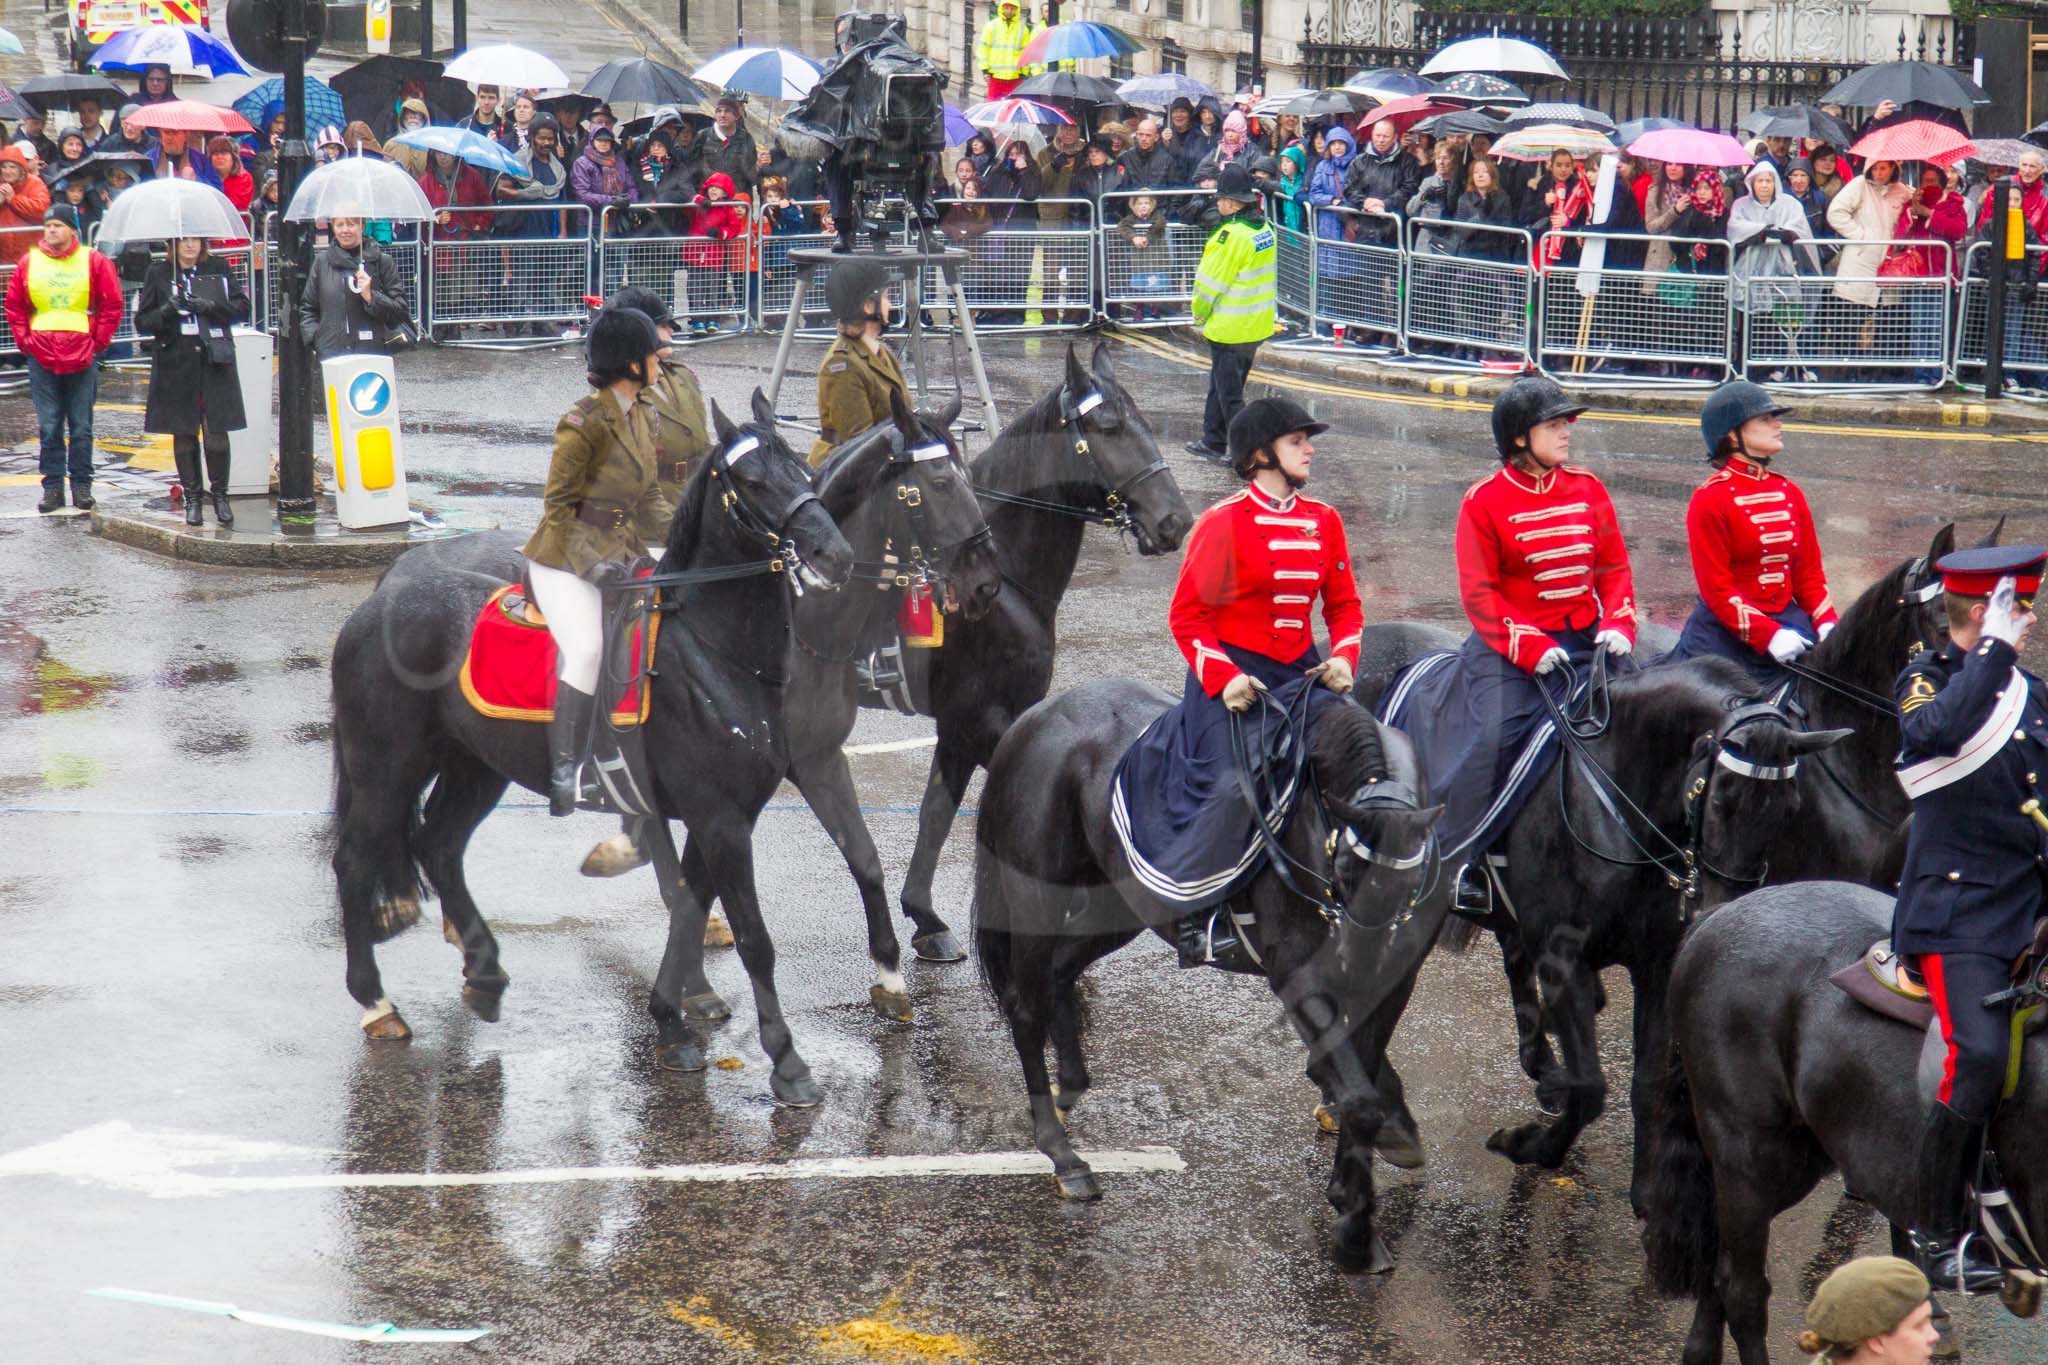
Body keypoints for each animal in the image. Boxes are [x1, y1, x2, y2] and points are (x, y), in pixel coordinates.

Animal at [329, 388, 856, 1105]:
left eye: (804, 469)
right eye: (751, 481)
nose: (835, 555)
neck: (713, 655)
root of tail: (378, 599)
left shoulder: (718, 816)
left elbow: (688, 910)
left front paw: (672, 1019)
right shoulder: (720, 819)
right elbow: (751, 937)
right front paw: (787, 1062)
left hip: (475, 768)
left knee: (440, 845)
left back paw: (485, 972)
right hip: (386, 770)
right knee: (356, 861)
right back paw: (376, 1002)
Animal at [892, 343, 1187, 949]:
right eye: (1108, 425)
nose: (1176, 521)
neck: (1002, 577)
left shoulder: (968, 723)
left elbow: (936, 812)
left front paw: (923, 916)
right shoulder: (974, 718)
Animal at [970, 687, 1441, 1277]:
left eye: (1410, 882)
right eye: (1347, 871)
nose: (1364, 955)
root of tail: (1034, 715)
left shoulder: (1391, 985)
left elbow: (1367, 1086)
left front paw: (1357, 1193)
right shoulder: (1298, 975)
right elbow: (1358, 1096)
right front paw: (1355, 1233)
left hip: (1117, 904)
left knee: (1060, 975)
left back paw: (1070, 1087)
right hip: (1038, 898)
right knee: (1025, 1006)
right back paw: (1062, 1155)